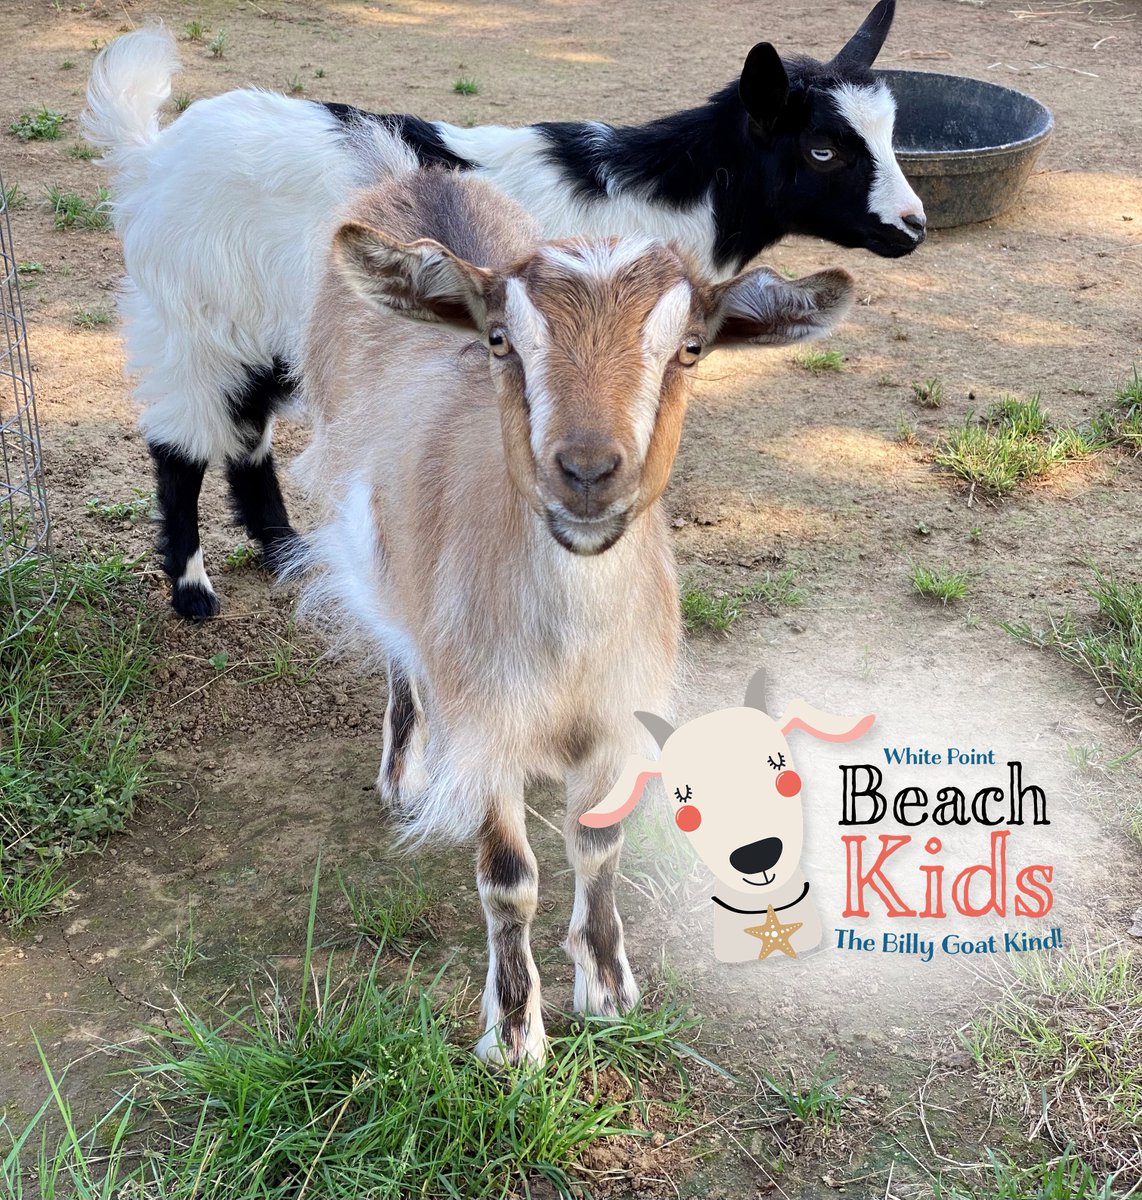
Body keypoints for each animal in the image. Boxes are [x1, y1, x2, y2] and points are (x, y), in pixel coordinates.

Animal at [82, 0, 919, 621]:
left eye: (889, 136)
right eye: (821, 149)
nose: (911, 228)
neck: (656, 201)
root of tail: (153, 155)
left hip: (264, 328)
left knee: (246, 430)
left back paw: (287, 552)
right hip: (192, 317)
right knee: (179, 445)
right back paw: (193, 591)